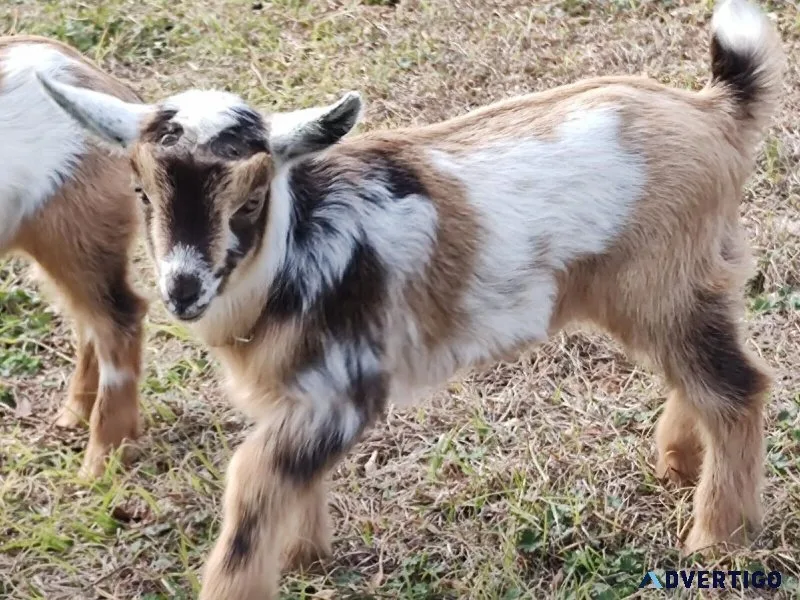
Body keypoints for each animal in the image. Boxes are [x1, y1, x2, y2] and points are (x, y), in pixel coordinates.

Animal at [37, 0, 783, 596]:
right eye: (142, 193)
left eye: (250, 200)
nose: (183, 290)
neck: (294, 245)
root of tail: (713, 111)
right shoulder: (297, 395)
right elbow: (288, 481)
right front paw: (304, 559)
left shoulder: (343, 389)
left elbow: (252, 483)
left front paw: (245, 580)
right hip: (686, 284)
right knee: (704, 376)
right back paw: (680, 464)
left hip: (665, 286)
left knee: (736, 389)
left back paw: (716, 540)